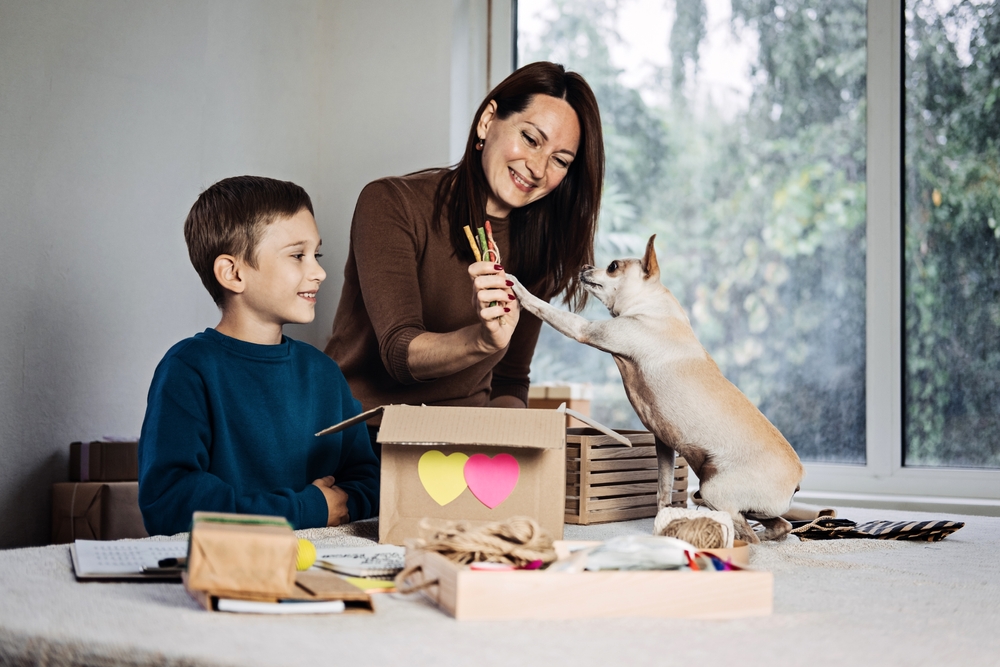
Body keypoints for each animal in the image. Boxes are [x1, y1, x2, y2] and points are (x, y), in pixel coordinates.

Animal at [516, 235, 804, 544]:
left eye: (613, 266)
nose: (584, 266)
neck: (651, 305)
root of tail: (797, 479)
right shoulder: (664, 445)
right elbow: (663, 490)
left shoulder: (585, 330)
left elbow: (543, 306)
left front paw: (515, 284)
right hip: (734, 497)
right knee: (781, 525)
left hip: (712, 490)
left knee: (747, 533)